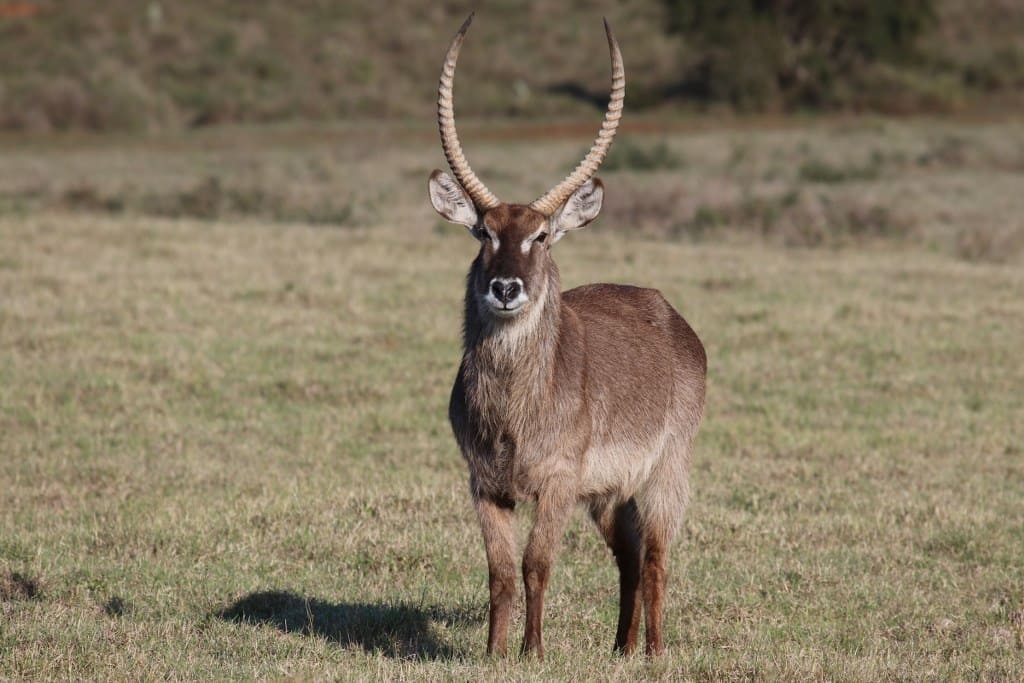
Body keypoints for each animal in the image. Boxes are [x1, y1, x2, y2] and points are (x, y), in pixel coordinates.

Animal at [428, 14, 706, 659]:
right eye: (484, 231)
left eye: (542, 236)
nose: (506, 287)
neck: (513, 410)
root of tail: (669, 312)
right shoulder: (484, 485)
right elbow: (500, 573)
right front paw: (493, 654)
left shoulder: (558, 481)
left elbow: (536, 565)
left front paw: (532, 652)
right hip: (608, 492)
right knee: (628, 556)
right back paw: (621, 649)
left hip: (665, 470)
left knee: (656, 556)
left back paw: (654, 652)